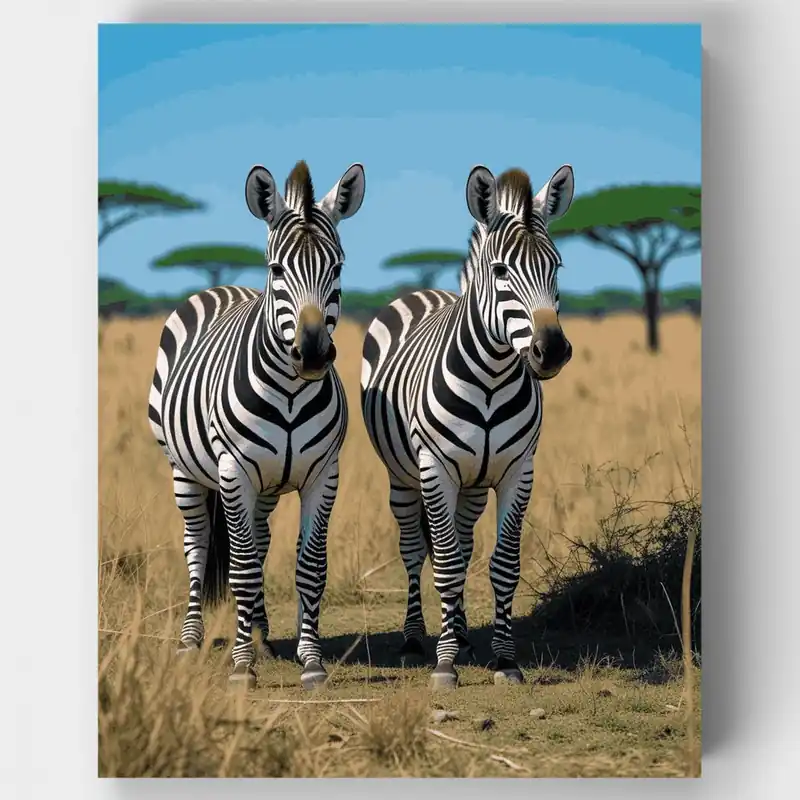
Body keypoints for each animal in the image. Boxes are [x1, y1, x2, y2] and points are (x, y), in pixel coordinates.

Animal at [147, 159, 366, 690]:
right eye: (276, 269)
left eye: (338, 267)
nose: (312, 353)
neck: (288, 392)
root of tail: (220, 286)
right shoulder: (234, 471)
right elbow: (242, 568)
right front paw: (241, 667)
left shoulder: (323, 475)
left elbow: (310, 566)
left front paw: (310, 660)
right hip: (186, 473)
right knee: (198, 546)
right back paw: (191, 640)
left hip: (266, 484)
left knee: (261, 541)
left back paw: (264, 634)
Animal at [360, 163, 574, 689]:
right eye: (500, 271)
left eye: (556, 266)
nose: (551, 351)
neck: (493, 377)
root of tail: (425, 291)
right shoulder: (435, 468)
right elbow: (445, 563)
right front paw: (445, 663)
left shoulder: (519, 469)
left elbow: (502, 564)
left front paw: (504, 659)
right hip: (403, 476)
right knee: (416, 549)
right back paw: (417, 638)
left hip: (473, 484)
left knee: (460, 540)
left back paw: (458, 631)